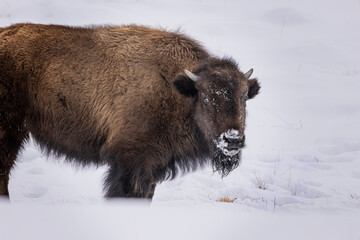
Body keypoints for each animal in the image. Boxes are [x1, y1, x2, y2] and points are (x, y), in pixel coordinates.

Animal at [0, 23, 258, 199]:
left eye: (244, 97)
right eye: (206, 98)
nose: (233, 140)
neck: (176, 89)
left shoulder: (152, 166)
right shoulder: (130, 160)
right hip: (9, 133)